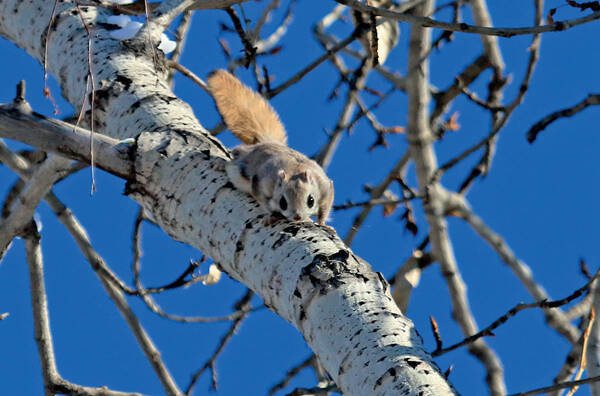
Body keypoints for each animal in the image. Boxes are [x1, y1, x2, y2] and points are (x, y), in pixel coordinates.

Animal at [207, 70, 336, 226]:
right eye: (283, 203)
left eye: (310, 200)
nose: (297, 217)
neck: (294, 170)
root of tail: (266, 142)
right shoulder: (261, 185)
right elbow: (264, 202)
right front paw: (271, 216)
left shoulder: (325, 187)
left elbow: (324, 208)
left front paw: (323, 223)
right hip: (242, 159)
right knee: (234, 157)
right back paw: (220, 164)